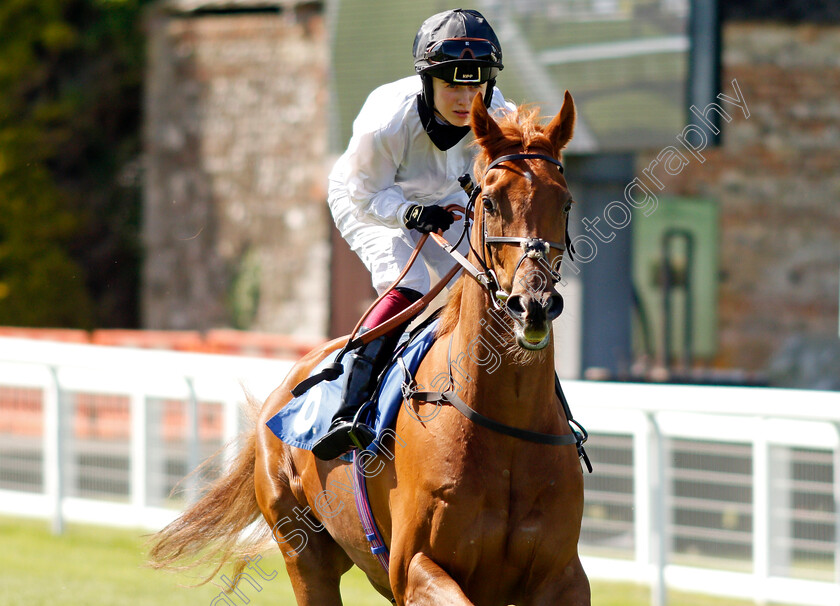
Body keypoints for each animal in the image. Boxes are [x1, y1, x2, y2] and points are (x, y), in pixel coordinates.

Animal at [148, 91, 588, 606]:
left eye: (565, 202)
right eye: (491, 201)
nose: (532, 304)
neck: (506, 424)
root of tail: (287, 381)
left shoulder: (563, 576)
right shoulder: (414, 567)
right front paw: (423, 215)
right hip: (304, 552)